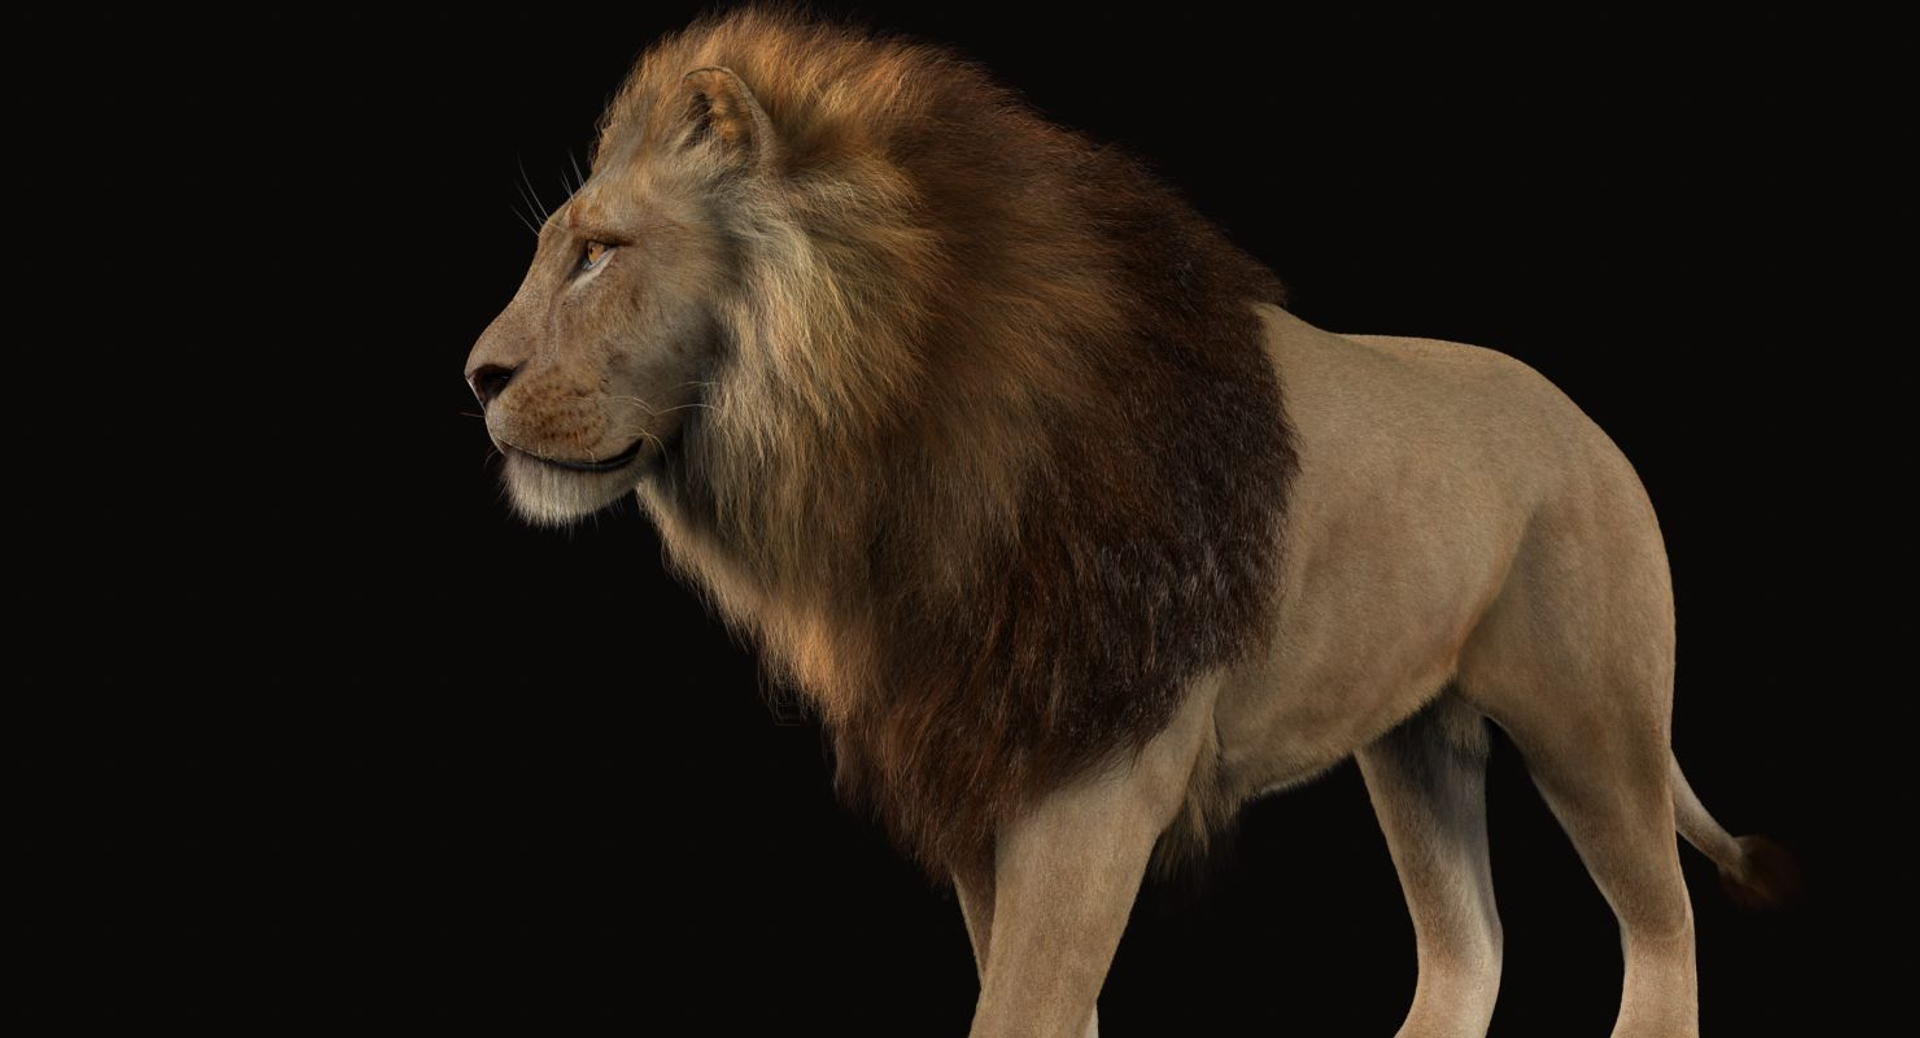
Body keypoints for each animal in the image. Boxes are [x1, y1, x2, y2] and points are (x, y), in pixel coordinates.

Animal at [463, 7, 1795, 1036]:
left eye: (597, 253)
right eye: (558, 251)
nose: (475, 377)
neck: (882, 449)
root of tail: (1590, 426)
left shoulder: (1098, 775)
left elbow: (1024, 1006)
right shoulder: (983, 759)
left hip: (1590, 716)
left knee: (1662, 919)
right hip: (1416, 741)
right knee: (1471, 944)